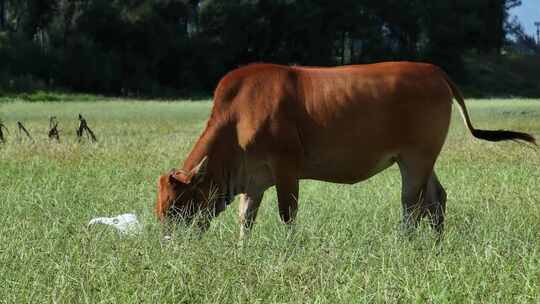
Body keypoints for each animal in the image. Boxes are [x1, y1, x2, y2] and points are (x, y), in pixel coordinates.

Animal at [156, 62, 536, 238]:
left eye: (176, 206)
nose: (167, 242)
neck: (237, 117)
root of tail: (431, 69)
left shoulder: (286, 169)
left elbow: (287, 214)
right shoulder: (254, 179)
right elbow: (246, 218)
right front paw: (242, 248)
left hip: (416, 157)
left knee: (413, 205)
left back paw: (407, 242)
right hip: (419, 159)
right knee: (436, 198)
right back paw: (436, 243)